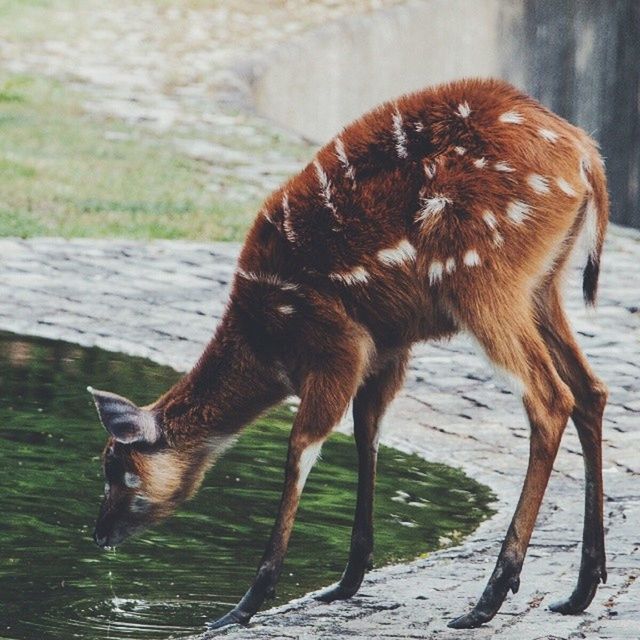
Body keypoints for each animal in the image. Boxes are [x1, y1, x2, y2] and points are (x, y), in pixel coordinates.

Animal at [87, 79, 608, 632]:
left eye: (116, 467)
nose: (99, 534)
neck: (266, 341)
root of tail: (585, 157)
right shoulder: (387, 349)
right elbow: (367, 433)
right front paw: (345, 582)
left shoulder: (338, 344)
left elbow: (301, 447)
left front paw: (242, 606)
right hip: (543, 286)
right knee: (590, 389)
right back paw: (579, 589)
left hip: (482, 279)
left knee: (550, 398)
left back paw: (488, 598)